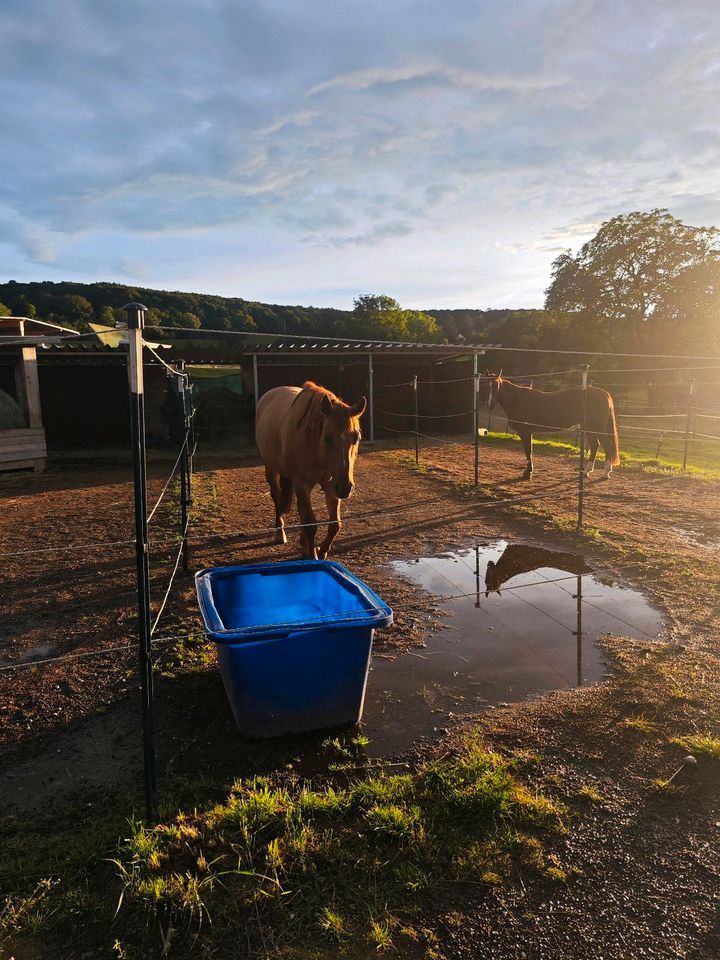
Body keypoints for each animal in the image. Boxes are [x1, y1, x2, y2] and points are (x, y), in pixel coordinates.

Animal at [255, 382, 366, 560]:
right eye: (327, 437)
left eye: (357, 437)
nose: (345, 488)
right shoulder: (302, 484)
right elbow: (311, 524)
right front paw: (313, 556)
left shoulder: (331, 485)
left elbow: (335, 524)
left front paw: (321, 551)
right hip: (271, 469)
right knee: (277, 496)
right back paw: (280, 533)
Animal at [486, 374, 620, 480]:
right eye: (487, 386)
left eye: (497, 386)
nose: (490, 405)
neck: (518, 400)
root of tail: (605, 394)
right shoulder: (528, 432)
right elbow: (529, 451)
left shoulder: (526, 432)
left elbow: (528, 451)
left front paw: (528, 473)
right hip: (589, 427)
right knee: (595, 446)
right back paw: (587, 471)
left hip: (597, 427)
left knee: (607, 446)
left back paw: (605, 473)